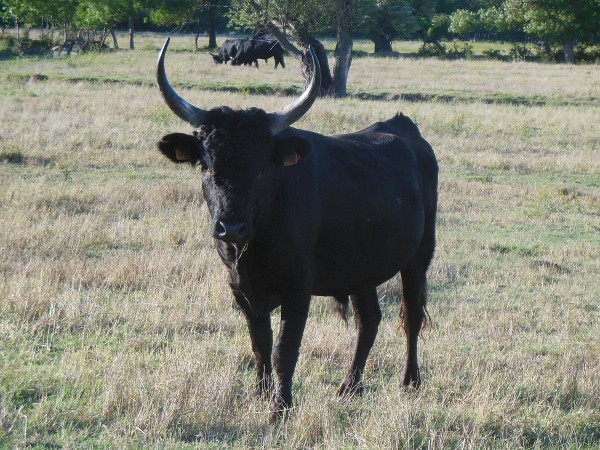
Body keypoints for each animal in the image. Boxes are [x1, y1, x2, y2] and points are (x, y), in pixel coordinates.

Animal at [156, 37, 436, 422]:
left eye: (263, 168)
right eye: (206, 166)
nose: (231, 227)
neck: (255, 246)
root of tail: (406, 128)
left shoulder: (298, 291)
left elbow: (284, 351)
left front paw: (281, 408)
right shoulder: (240, 289)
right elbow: (260, 344)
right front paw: (260, 395)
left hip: (418, 259)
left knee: (411, 316)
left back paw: (409, 382)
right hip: (360, 269)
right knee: (369, 320)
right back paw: (349, 387)